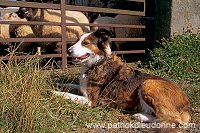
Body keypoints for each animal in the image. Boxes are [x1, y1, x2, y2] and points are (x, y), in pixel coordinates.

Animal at [52, 28, 191, 124]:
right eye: (77, 41)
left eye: (85, 43)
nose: (68, 51)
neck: (98, 63)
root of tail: (187, 104)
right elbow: (70, 84)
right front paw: (56, 84)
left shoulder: (91, 101)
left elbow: (68, 94)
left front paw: (53, 92)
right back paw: (140, 115)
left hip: (148, 83)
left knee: (173, 119)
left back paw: (140, 116)